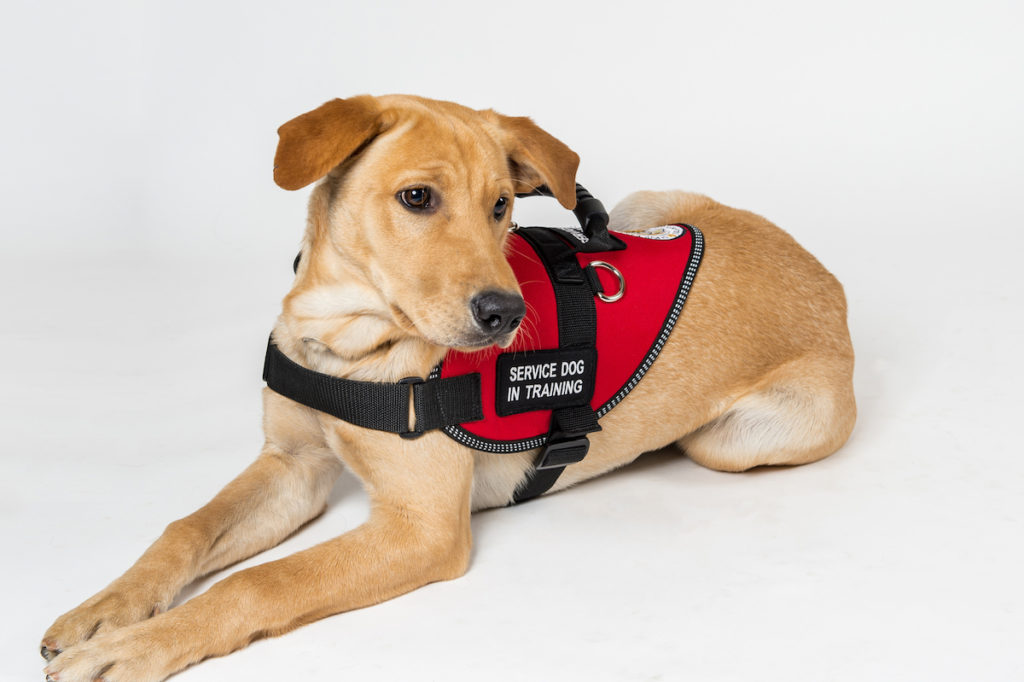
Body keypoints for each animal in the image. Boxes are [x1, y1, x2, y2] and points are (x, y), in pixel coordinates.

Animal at [41, 95, 856, 679]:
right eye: (417, 198)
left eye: (502, 206)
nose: (506, 314)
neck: (350, 345)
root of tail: (831, 280)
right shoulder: (294, 466)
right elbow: (187, 527)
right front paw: (108, 611)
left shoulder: (420, 528)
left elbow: (259, 584)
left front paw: (132, 649)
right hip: (647, 205)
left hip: (734, 440)